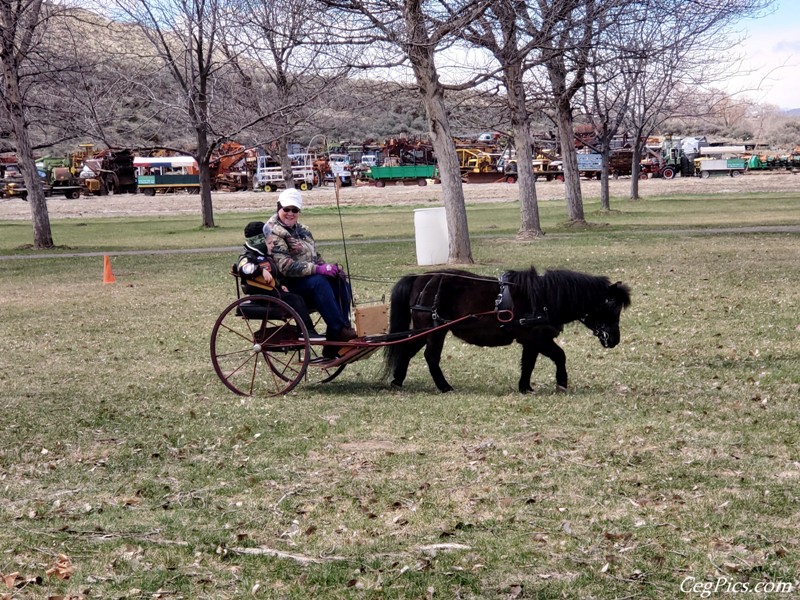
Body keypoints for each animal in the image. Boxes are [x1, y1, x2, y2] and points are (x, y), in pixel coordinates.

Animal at [382, 268, 632, 394]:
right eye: (610, 307)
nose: (614, 339)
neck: (543, 298)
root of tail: (422, 278)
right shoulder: (538, 338)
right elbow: (560, 356)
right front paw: (561, 383)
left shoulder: (531, 340)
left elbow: (528, 363)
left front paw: (525, 387)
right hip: (435, 330)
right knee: (431, 357)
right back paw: (444, 387)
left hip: (425, 329)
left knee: (407, 350)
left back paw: (397, 382)